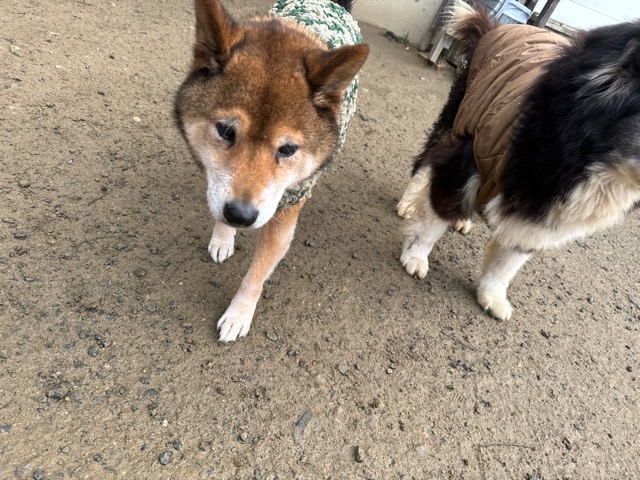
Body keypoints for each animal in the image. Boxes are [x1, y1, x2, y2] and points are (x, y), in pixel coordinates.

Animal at [174, 0, 368, 342]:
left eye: (288, 149)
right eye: (226, 130)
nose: (240, 216)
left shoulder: (286, 210)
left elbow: (257, 274)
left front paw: (238, 314)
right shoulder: (217, 180)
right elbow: (217, 198)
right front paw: (223, 237)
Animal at [400, 1, 640, 321]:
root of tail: (497, 26)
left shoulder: (540, 216)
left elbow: (509, 261)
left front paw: (492, 295)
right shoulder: (468, 155)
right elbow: (434, 220)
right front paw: (415, 255)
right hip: (459, 114)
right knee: (425, 162)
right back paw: (408, 201)